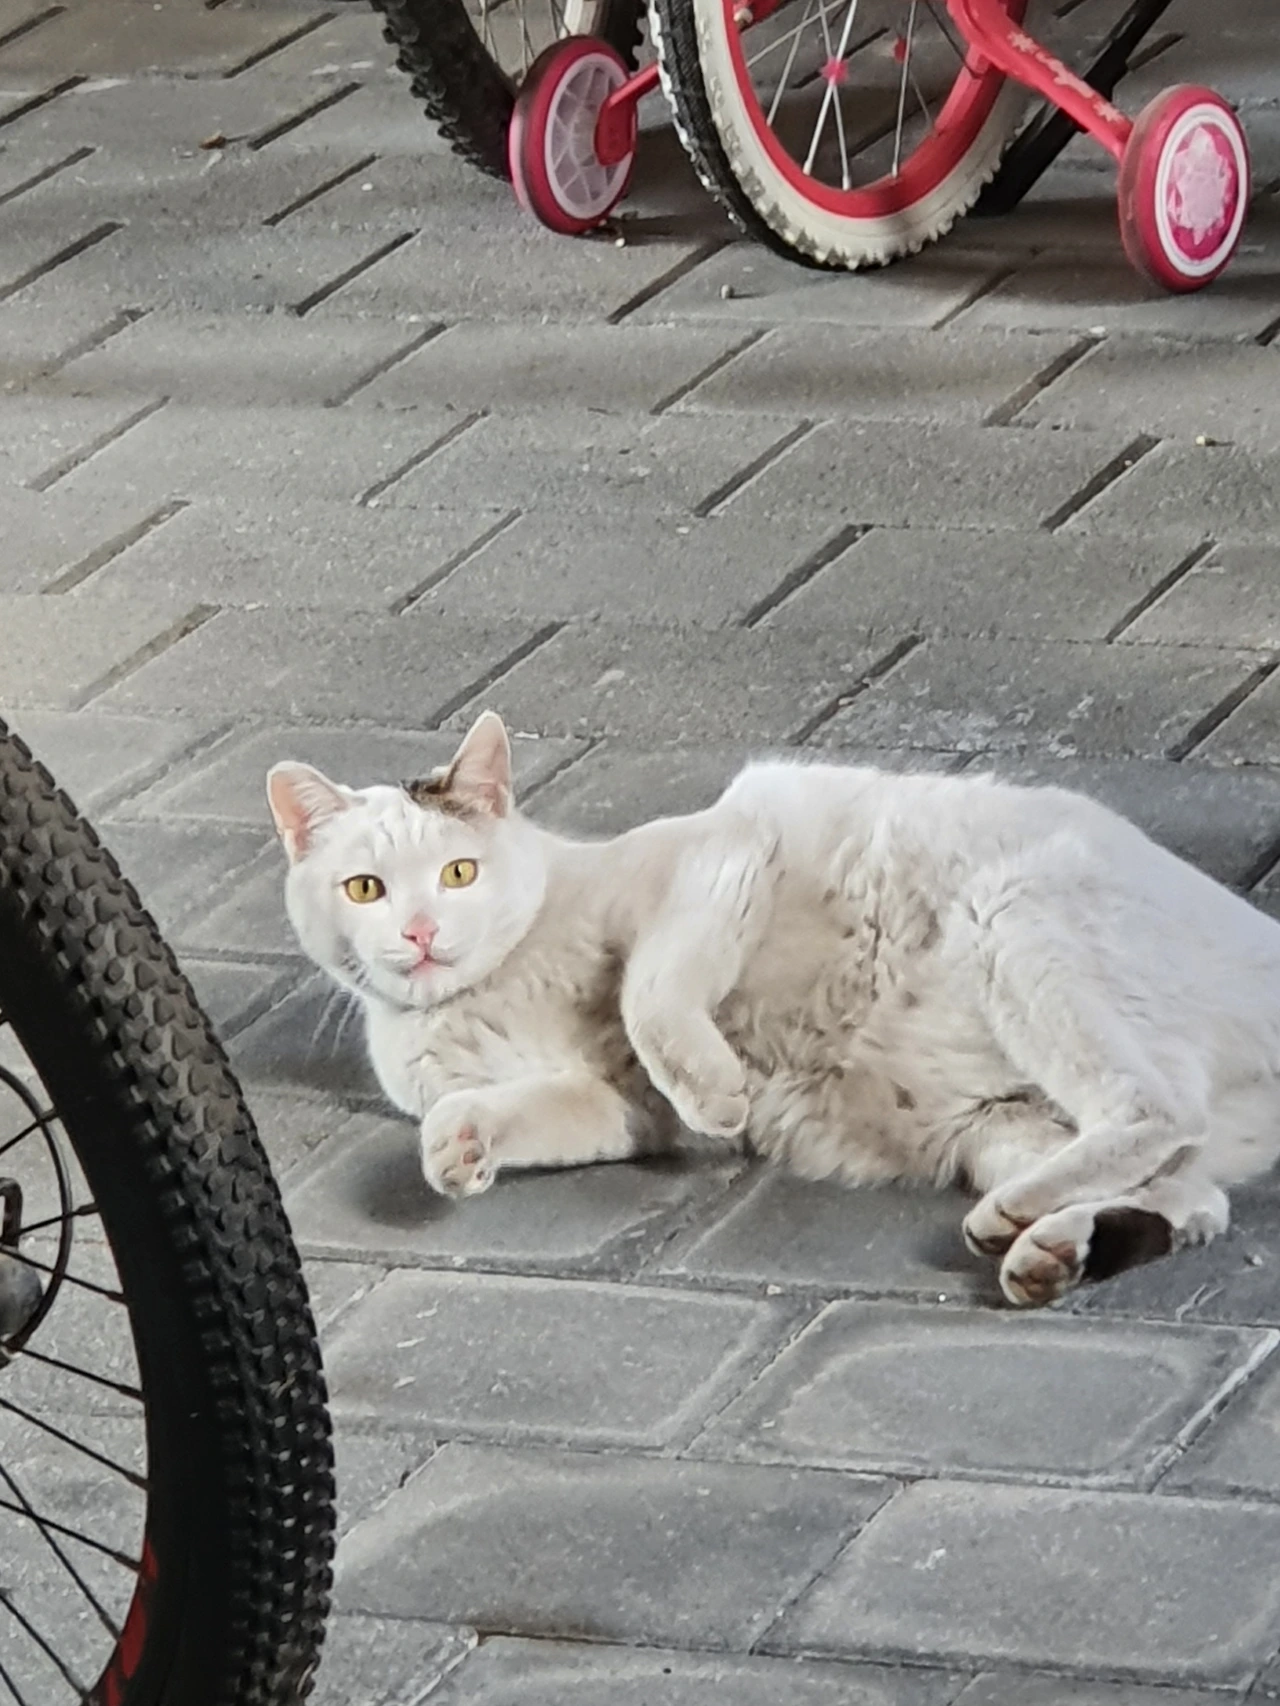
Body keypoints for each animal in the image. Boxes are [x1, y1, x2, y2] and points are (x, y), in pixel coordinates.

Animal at [268, 712, 1280, 1307]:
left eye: (458, 873)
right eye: (365, 889)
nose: (422, 931)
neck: (490, 995)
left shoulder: (719, 862)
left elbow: (648, 993)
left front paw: (721, 1091)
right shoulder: (618, 1106)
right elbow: (504, 1108)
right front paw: (457, 1152)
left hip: (1019, 924)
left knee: (1154, 1114)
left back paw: (1019, 1219)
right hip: (1007, 1123)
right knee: (1191, 1198)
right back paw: (1050, 1250)